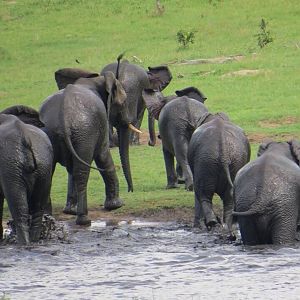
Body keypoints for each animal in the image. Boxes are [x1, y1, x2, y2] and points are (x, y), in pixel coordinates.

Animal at [0, 113, 53, 245]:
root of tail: (25, 137)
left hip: (10, 165)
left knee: (18, 206)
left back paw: (23, 242)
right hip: (44, 164)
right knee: (38, 206)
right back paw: (34, 240)